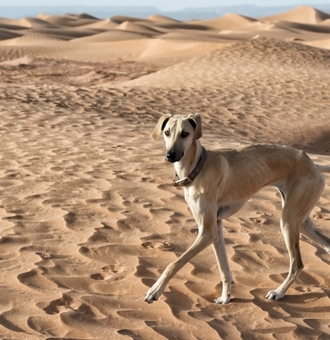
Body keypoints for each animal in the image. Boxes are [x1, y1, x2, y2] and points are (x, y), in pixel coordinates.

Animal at [144, 113, 330, 304]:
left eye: (185, 134)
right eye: (167, 132)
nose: (170, 155)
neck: (198, 167)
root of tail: (313, 164)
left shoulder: (207, 232)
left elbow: (174, 263)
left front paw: (155, 290)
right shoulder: (215, 228)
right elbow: (224, 268)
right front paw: (225, 298)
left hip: (288, 220)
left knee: (297, 264)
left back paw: (279, 292)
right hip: (302, 221)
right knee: (327, 245)